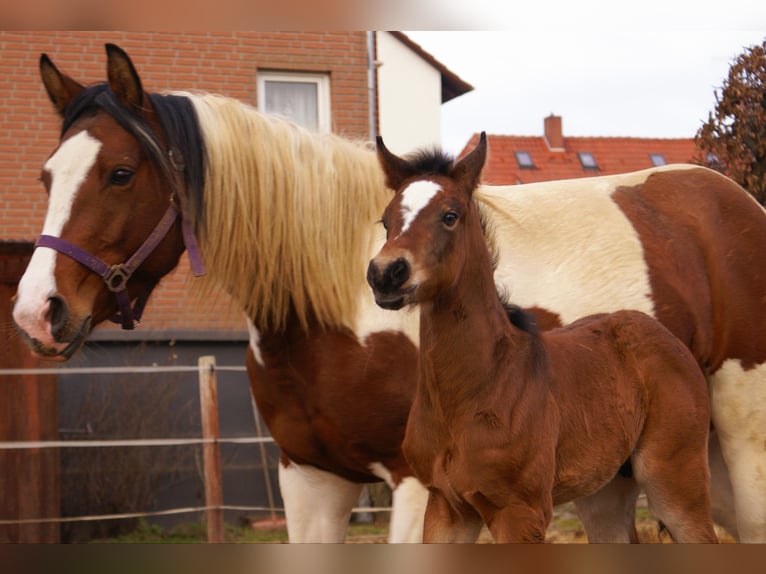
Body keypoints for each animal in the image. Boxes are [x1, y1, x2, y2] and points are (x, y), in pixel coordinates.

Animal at [366, 135, 720, 544]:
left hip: (675, 481)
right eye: (387, 219)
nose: (386, 274)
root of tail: (668, 338)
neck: (475, 386)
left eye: (450, 215)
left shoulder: (521, 512)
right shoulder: (446, 507)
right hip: (605, 490)